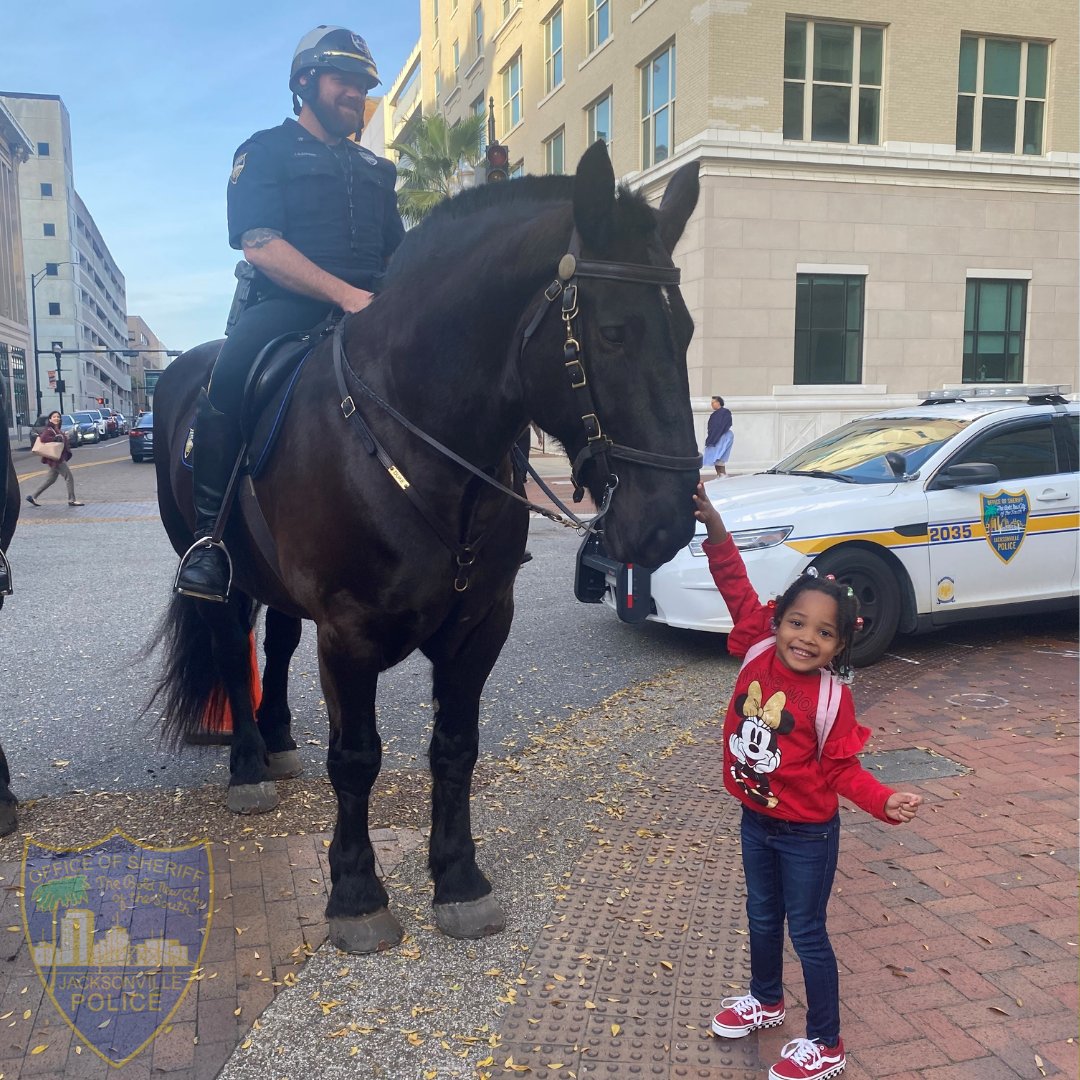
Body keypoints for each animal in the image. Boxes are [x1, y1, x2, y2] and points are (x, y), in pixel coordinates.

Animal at [147, 145, 699, 954]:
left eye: (684, 331)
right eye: (614, 332)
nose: (667, 521)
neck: (413, 437)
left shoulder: (480, 624)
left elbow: (455, 746)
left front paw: (458, 877)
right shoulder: (348, 631)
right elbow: (357, 757)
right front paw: (355, 892)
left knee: (276, 644)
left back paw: (277, 738)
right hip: (216, 566)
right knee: (228, 642)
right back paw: (248, 764)